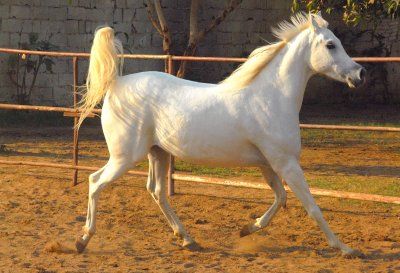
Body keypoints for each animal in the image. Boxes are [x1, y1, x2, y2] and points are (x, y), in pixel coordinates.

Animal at [75, 12, 366, 255]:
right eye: (330, 45)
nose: (359, 74)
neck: (270, 97)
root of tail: (117, 83)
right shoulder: (286, 163)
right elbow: (312, 206)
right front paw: (345, 249)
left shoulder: (269, 164)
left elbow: (280, 198)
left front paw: (248, 229)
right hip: (125, 156)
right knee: (95, 181)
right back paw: (83, 240)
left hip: (158, 152)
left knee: (157, 191)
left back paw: (188, 239)